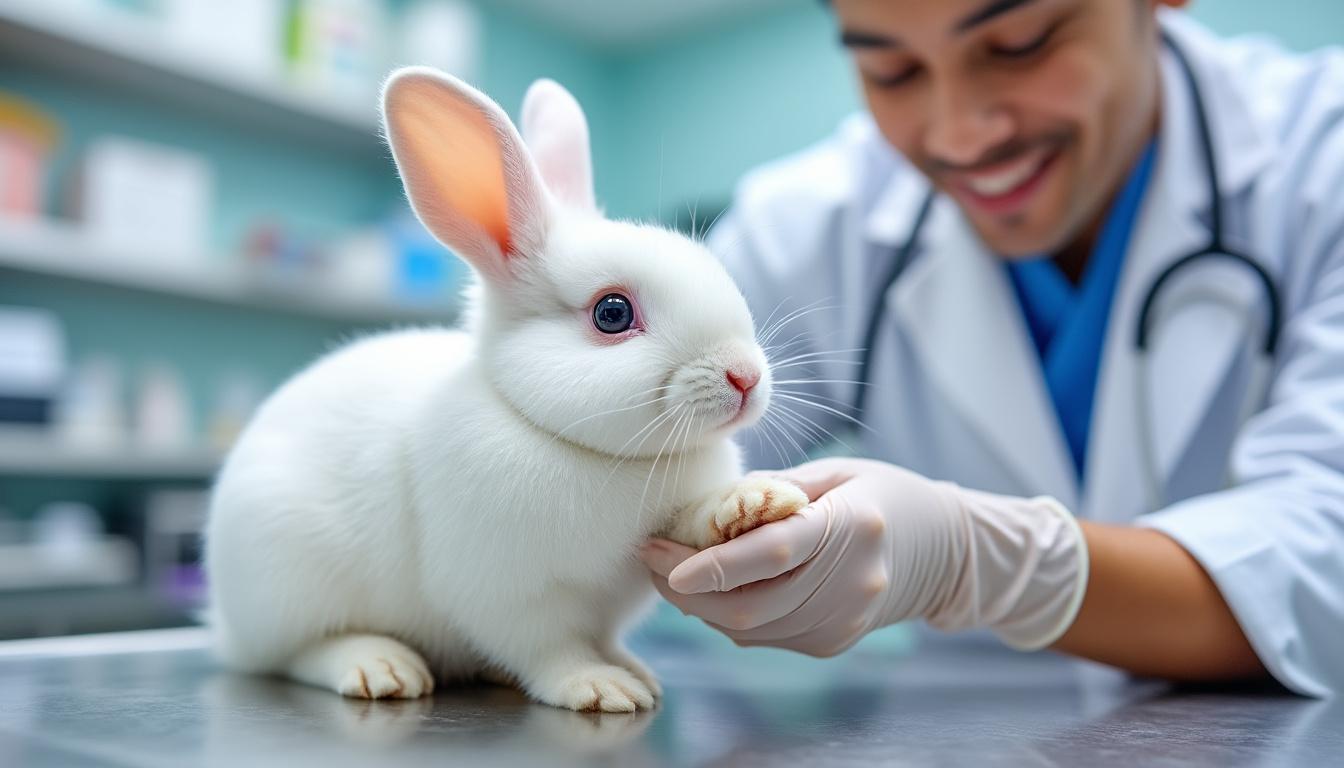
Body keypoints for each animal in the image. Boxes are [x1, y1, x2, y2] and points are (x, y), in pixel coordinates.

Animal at [204, 67, 809, 713]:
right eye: (612, 313)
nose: (745, 376)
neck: (599, 455)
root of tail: (226, 622)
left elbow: (688, 527)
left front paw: (753, 504)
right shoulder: (506, 594)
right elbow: (549, 649)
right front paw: (600, 686)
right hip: (287, 578)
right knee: (297, 654)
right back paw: (380, 668)